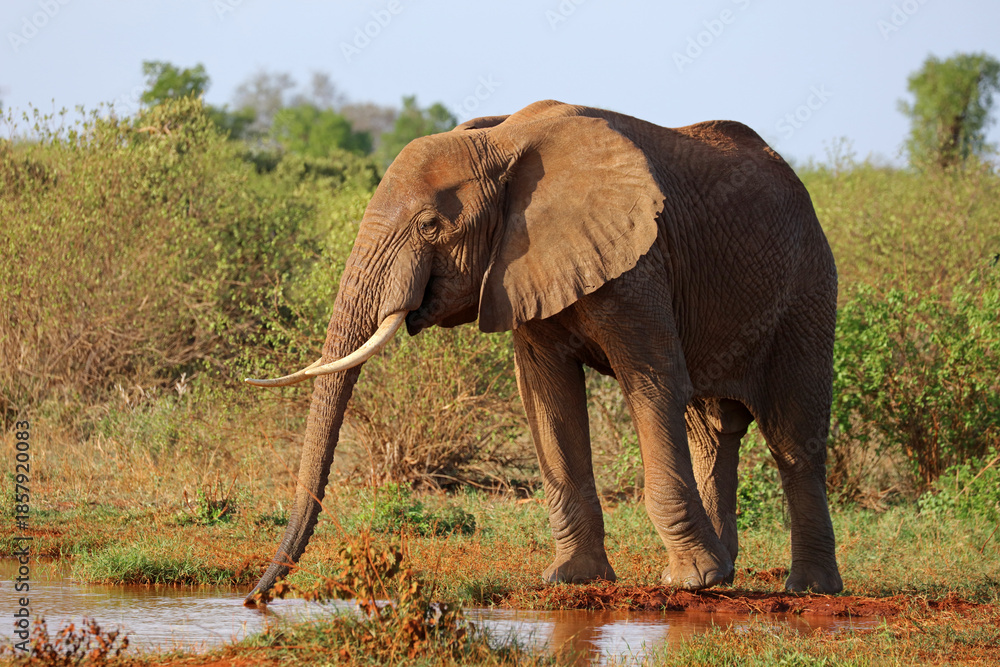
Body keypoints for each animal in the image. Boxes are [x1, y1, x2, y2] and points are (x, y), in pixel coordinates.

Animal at [242, 99, 844, 605]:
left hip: (808, 289)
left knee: (793, 437)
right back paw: (729, 574)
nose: (255, 598)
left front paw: (689, 582)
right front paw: (572, 579)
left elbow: (653, 384)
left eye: (431, 226)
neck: (503, 142)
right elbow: (547, 395)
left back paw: (805, 588)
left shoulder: (639, 263)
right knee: (712, 433)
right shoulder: (520, 269)